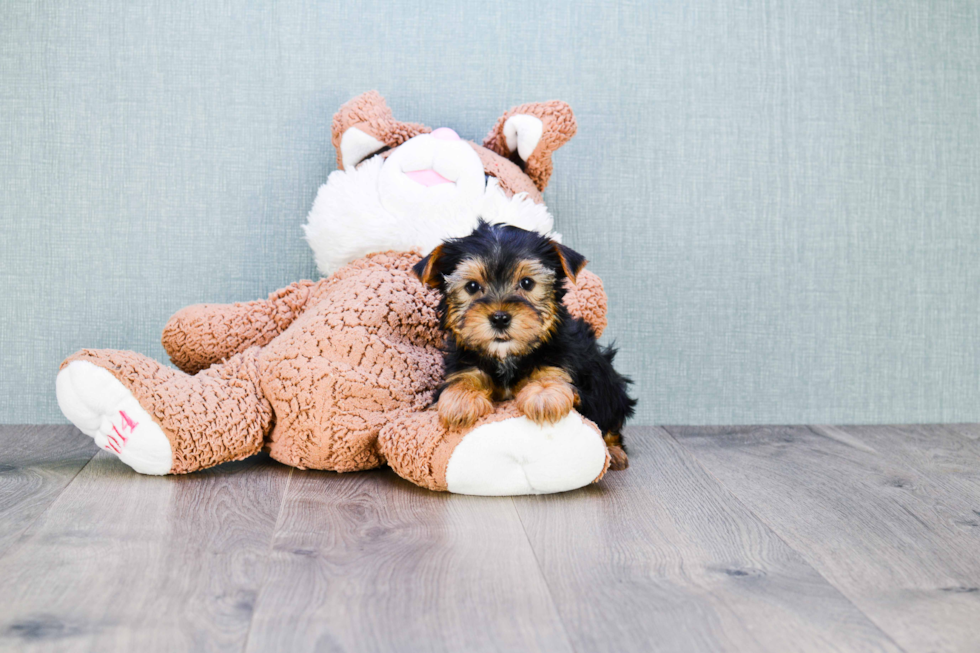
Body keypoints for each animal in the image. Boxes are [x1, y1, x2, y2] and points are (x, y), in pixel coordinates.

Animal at [412, 220, 636, 468]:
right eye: (471, 287)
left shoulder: (567, 362)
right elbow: (465, 377)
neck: (507, 356)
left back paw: (615, 452)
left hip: (608, 383)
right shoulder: (464, 361)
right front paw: (461, 398)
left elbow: (551, 372)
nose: (500, 318)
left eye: (527, 283)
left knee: (611, 419)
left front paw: (543, 393)